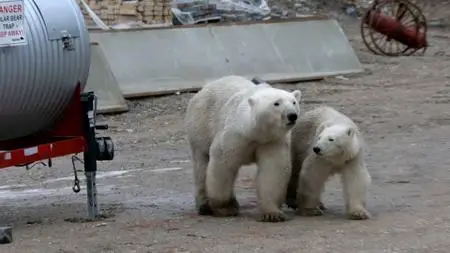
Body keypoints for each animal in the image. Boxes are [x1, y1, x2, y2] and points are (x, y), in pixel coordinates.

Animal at [183, 75, 302, 221]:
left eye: (294, 102)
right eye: (276, 103)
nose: (292, 115)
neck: (255, 132)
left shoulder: (272, 141)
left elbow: (273, 170)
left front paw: (273, 214)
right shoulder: (234, 135)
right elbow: (222, 164)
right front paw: (227, 208)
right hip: (200, 126)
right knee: (201, 164)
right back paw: (204, 206)